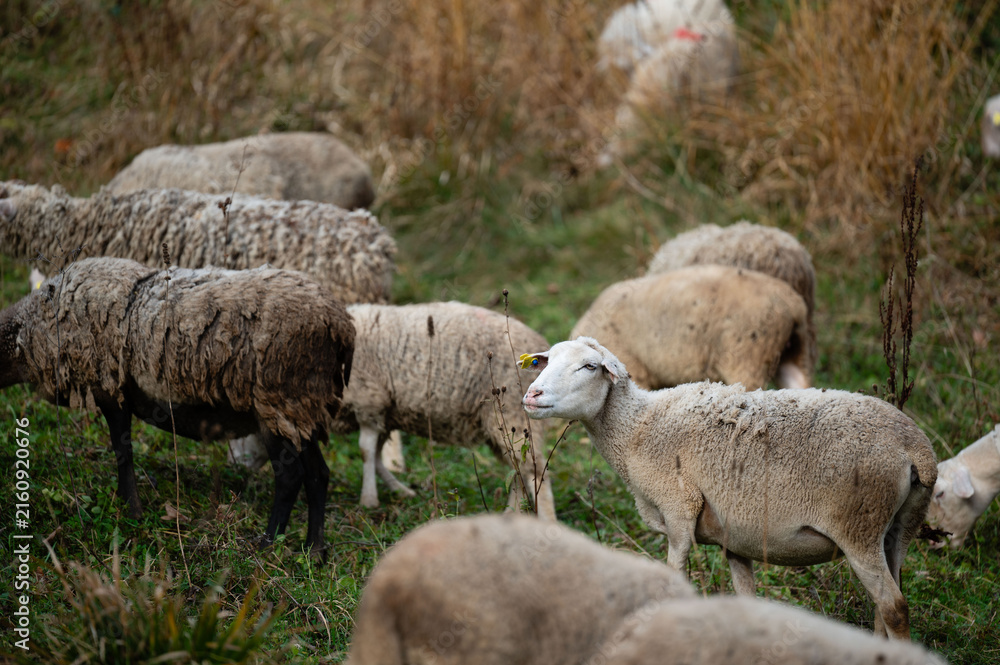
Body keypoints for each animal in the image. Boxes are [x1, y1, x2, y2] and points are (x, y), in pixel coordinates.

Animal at [0, 257, 355, 553]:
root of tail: (342, 325)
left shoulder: (110, 387)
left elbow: (122, 450)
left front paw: (132, 511)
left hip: (277, 400)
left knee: (290, 476)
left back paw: (267, 543)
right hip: (302, 409)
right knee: (318, 474)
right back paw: (314, 550)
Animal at [333, 302, 557, 520]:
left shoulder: (369, 401)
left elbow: (366, 451)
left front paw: (368, 499)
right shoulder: (385, 413)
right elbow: (376, 455)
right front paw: (399, 491)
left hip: (512, 414)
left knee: (534, 470)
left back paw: (547, 520)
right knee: (518, 468)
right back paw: (512, 515)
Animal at [520, 337, 938, 639]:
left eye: (589, 366)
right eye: (545, 361)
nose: (531, 395)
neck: (638, 429)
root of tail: (915, 448)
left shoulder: (679, 513)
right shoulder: (736, 537)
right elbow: (746, 598)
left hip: (858, 526)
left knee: (894, 609)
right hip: (899, 528)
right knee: (886, 604)